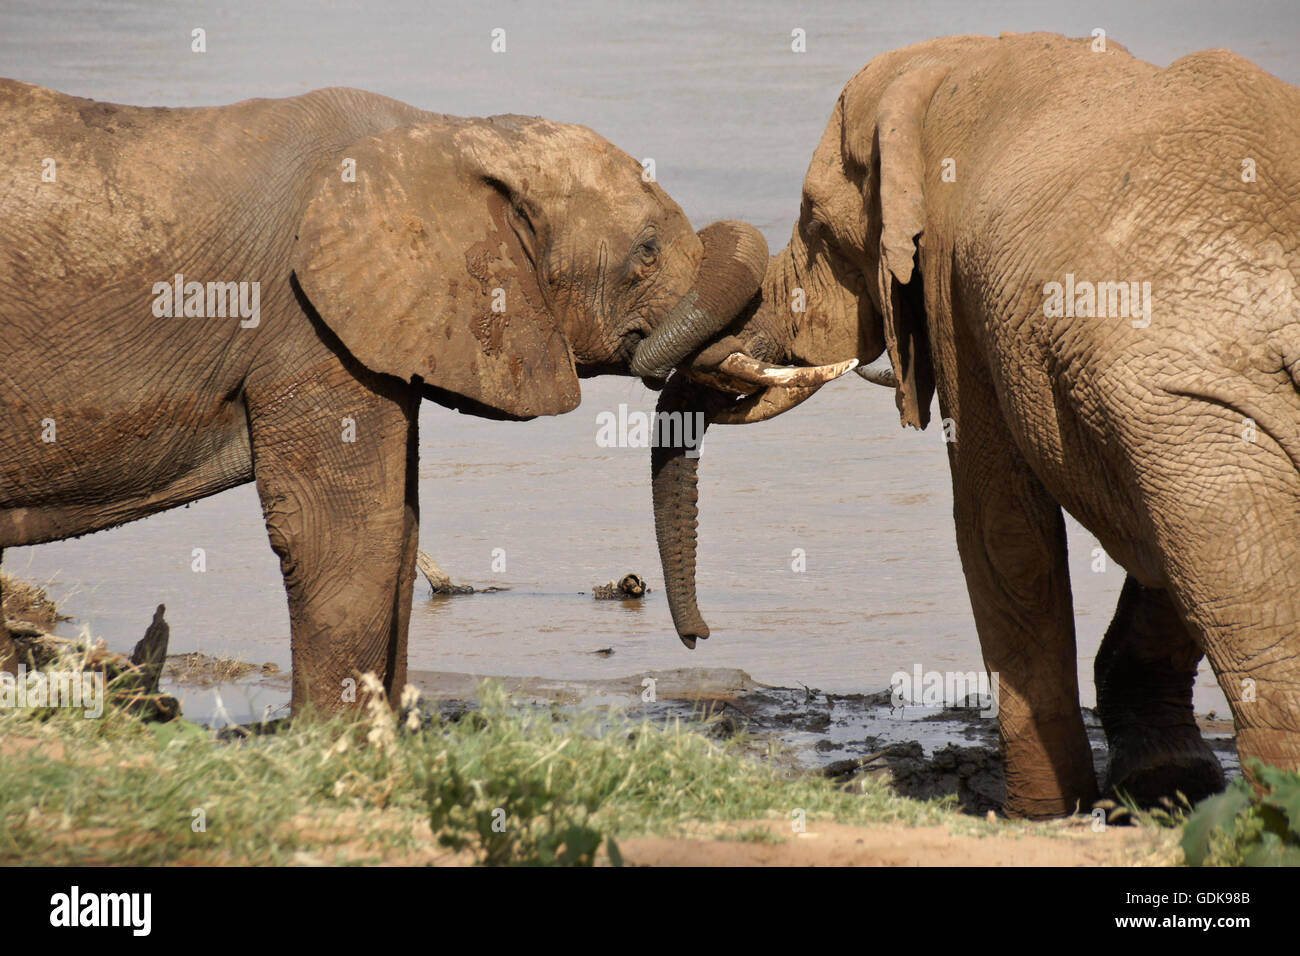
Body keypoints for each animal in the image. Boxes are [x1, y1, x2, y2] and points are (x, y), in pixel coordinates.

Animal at [0, 80, 780, 712]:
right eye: (645, 251)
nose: (699, 638)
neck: (448, 133)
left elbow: (399, 531)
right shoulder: (306, 321)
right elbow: (345, 535)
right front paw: (340, 749)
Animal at [650, 33, 1300, 816]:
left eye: (816, 225)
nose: (699, 637)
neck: (957, 63)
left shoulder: (959, 289)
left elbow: (999, 529)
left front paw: (1041, 815)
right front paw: (1162, 785)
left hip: (1195, 418)